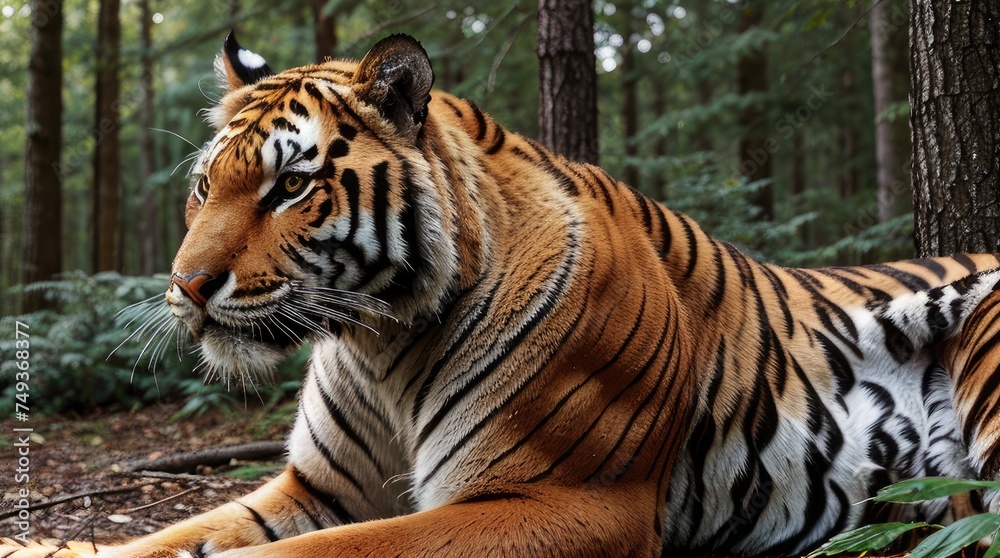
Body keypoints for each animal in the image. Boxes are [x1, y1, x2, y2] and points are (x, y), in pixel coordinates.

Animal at [5, 32, 1000, 558]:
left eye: (289, 187)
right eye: (206, 186)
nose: (186, 285)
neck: (378, 341)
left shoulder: (561, 500)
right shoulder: (317, 484)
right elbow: (169, 540)